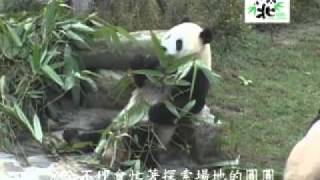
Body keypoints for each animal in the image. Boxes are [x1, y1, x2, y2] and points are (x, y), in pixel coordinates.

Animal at [122, 21, 212, 153]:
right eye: (168, 35)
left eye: (179, 43)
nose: (162, 48)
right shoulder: (158, 68)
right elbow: (140, 79)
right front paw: (142, 60)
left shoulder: (197, 74)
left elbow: (190, 103)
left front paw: (154, 111)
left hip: (156, 133)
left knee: (141, 140)